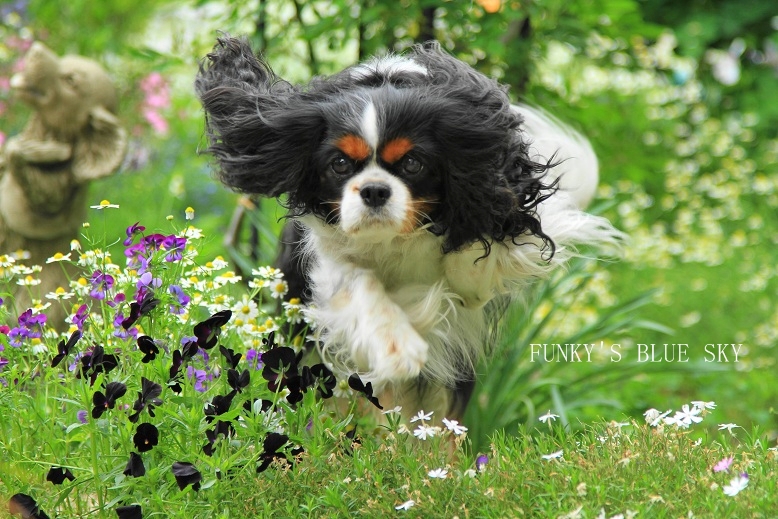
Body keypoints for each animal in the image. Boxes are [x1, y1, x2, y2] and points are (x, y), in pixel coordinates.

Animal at [197, 38, 620, 424]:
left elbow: (476, 259)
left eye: (413, 164)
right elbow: (358, 282)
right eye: (339, 164)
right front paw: (397, 346)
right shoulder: (326, 261)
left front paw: (465, 272)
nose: (374, 190)